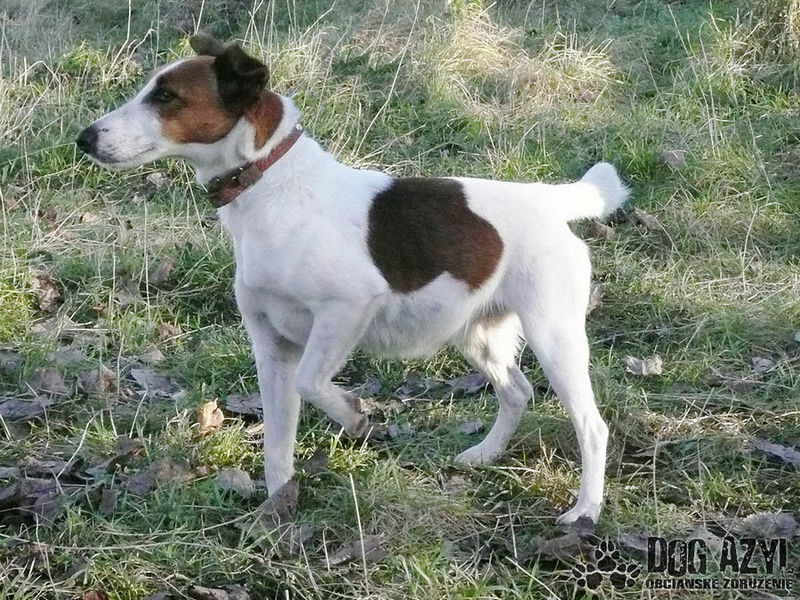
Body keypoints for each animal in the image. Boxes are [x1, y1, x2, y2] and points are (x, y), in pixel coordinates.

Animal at [76, 34, 628, 524]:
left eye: (166, 97)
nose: (85, 137)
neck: (268, 182)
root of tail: (549, 200)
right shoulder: (270, 348)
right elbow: (277, 445)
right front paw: (278, 508)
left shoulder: (346, 310)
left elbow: (314, 381)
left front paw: (355, 417)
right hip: (477, 333)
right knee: (516, 392)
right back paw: (485, 454)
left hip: (553, 337)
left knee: (592, 427)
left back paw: (586, 510)